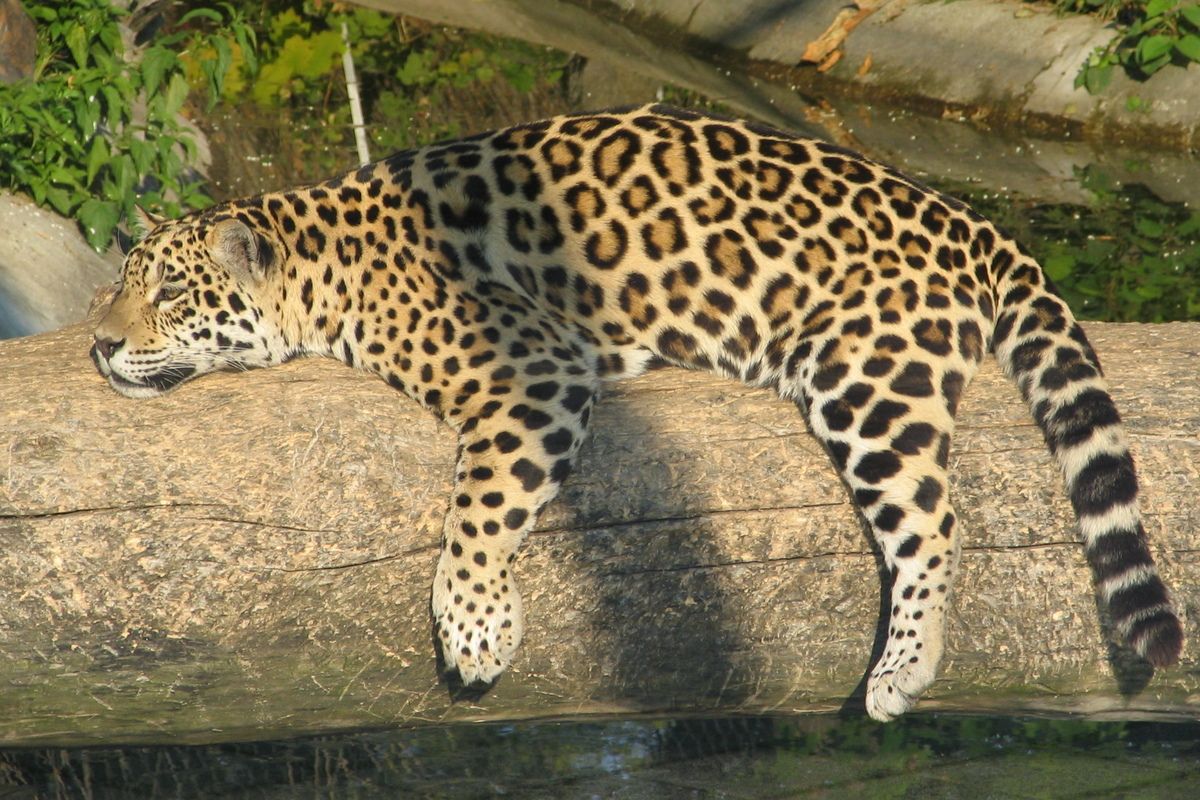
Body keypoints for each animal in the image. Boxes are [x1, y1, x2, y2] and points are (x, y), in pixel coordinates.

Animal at [91, 103, 1182, 721]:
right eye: (117, 283)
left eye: (171, 293)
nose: (99, 343)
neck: (319, 260)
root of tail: (970, 220)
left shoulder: (531, 367)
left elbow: (481, 503)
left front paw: (475, 627)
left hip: (868, 373)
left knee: (934, 519)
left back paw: (902, 667)